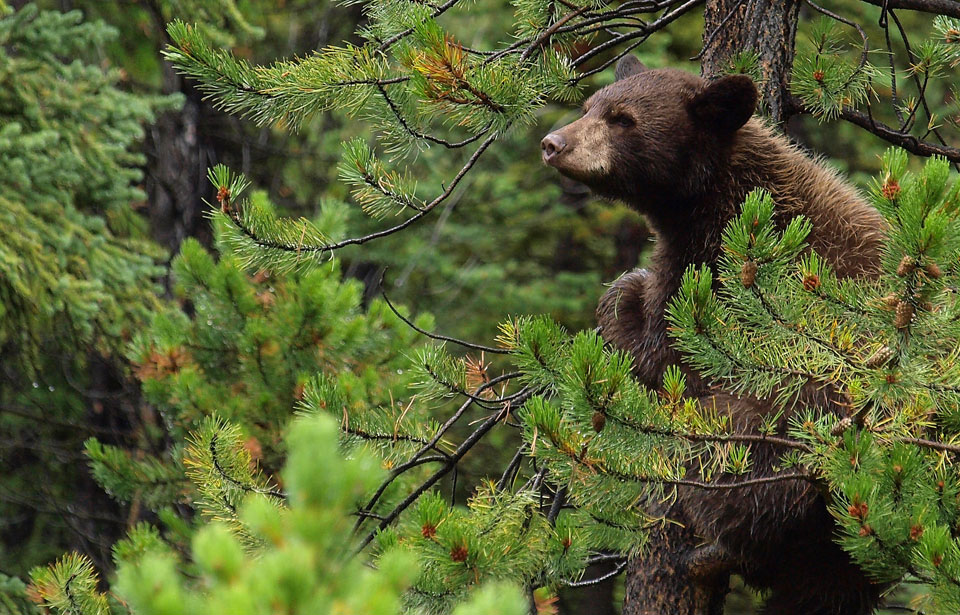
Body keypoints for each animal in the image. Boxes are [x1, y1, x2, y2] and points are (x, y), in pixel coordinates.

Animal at [544, 55, 888, 612]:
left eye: (623, 119)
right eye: (588, 105)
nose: (553, 143)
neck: (716, 196)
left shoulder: (720, 274)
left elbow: (664, 352)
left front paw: (624, 296)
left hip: (786, 433)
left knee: (729, 462)